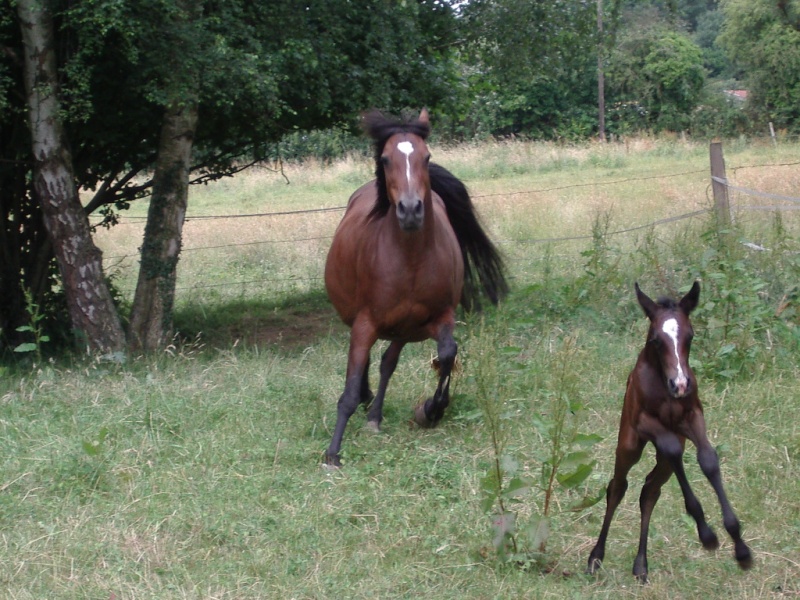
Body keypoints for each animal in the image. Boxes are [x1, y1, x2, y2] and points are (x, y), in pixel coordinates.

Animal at [320, 109, 504, 468]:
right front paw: (333, 452)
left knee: (386, 364)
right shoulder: (364, 323)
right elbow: (349, 388)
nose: (410, 210)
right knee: (367, 365)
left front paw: (431, 409)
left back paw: (375, 414)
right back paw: (367, 404)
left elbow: (447, 354)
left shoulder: (436, 319)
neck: (410, 260)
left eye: (427, 156)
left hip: (403, 331)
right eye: (385, 159)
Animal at [584, 282, 752, 580]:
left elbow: (708, 459)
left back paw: (641, 565)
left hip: (664, 459)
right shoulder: (646, 423)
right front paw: (707, 535)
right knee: (618, 487)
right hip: (629, 444)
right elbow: (672, 450)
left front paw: (740, 548)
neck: (664, 386)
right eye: (655, 340)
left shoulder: (693, 417)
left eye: (691, 335)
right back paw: (596, 557)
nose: (681, 384)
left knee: (650, 490)